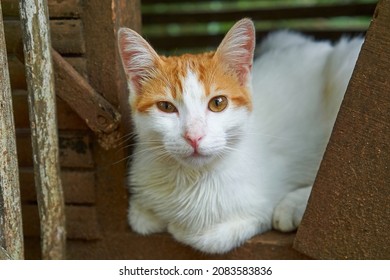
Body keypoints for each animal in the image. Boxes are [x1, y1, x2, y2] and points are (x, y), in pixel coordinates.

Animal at [116, 18, 362, 254]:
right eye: (166, 107)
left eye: (218, 103)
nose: (194, 136)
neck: (191, 179)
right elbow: (138, 219)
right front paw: (151, 215)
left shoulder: (260, 208)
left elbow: (209, 238)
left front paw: (178, 227)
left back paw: (293, 206)